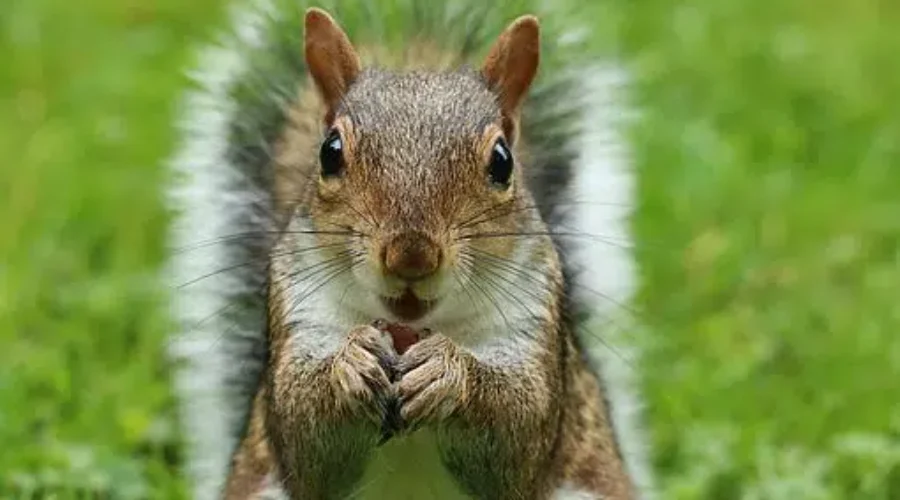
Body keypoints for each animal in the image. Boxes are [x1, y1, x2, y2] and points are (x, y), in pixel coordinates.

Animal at [167, 1, 654, 499]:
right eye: (329, 152)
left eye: (502, 161)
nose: (411, 256)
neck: (416, 327)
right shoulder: (298, 311)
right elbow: (304, 436)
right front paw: (351, 362)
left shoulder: (533, 321)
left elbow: (519, 431)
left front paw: (448, 371)